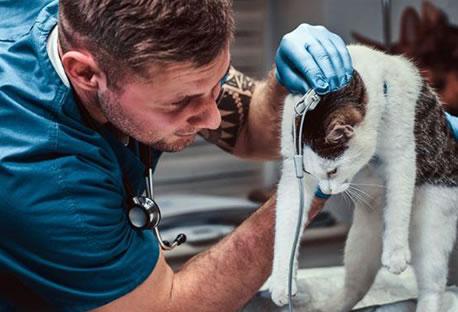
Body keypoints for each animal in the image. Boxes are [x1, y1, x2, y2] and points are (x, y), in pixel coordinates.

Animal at [268, 44, 458, 312]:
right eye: (310, 173)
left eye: (333, 171)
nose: (327, 190)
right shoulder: (293, 179)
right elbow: (286, 227)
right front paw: (281, 283)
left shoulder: (401, 153)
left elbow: (398, 204)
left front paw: (396, 252)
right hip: (359, 242)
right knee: (355, 286)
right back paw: (329, 306)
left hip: (432, 223)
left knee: (432, 287)